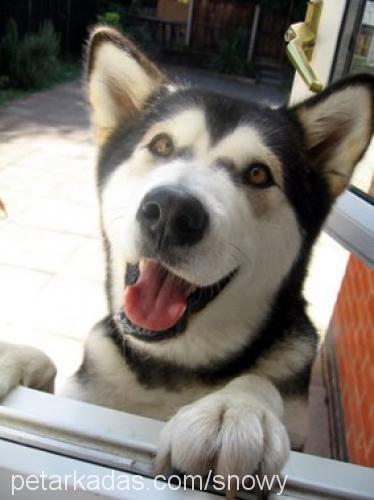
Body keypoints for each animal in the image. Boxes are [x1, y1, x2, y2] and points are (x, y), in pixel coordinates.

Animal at [0, 24, 372, 492]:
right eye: (161, 145)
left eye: (258, 174)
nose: (172, 212)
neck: (175, 366)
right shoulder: (85, 392)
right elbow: (46, 362)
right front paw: (9, 355)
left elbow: (256, 379)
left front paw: (234, 409)